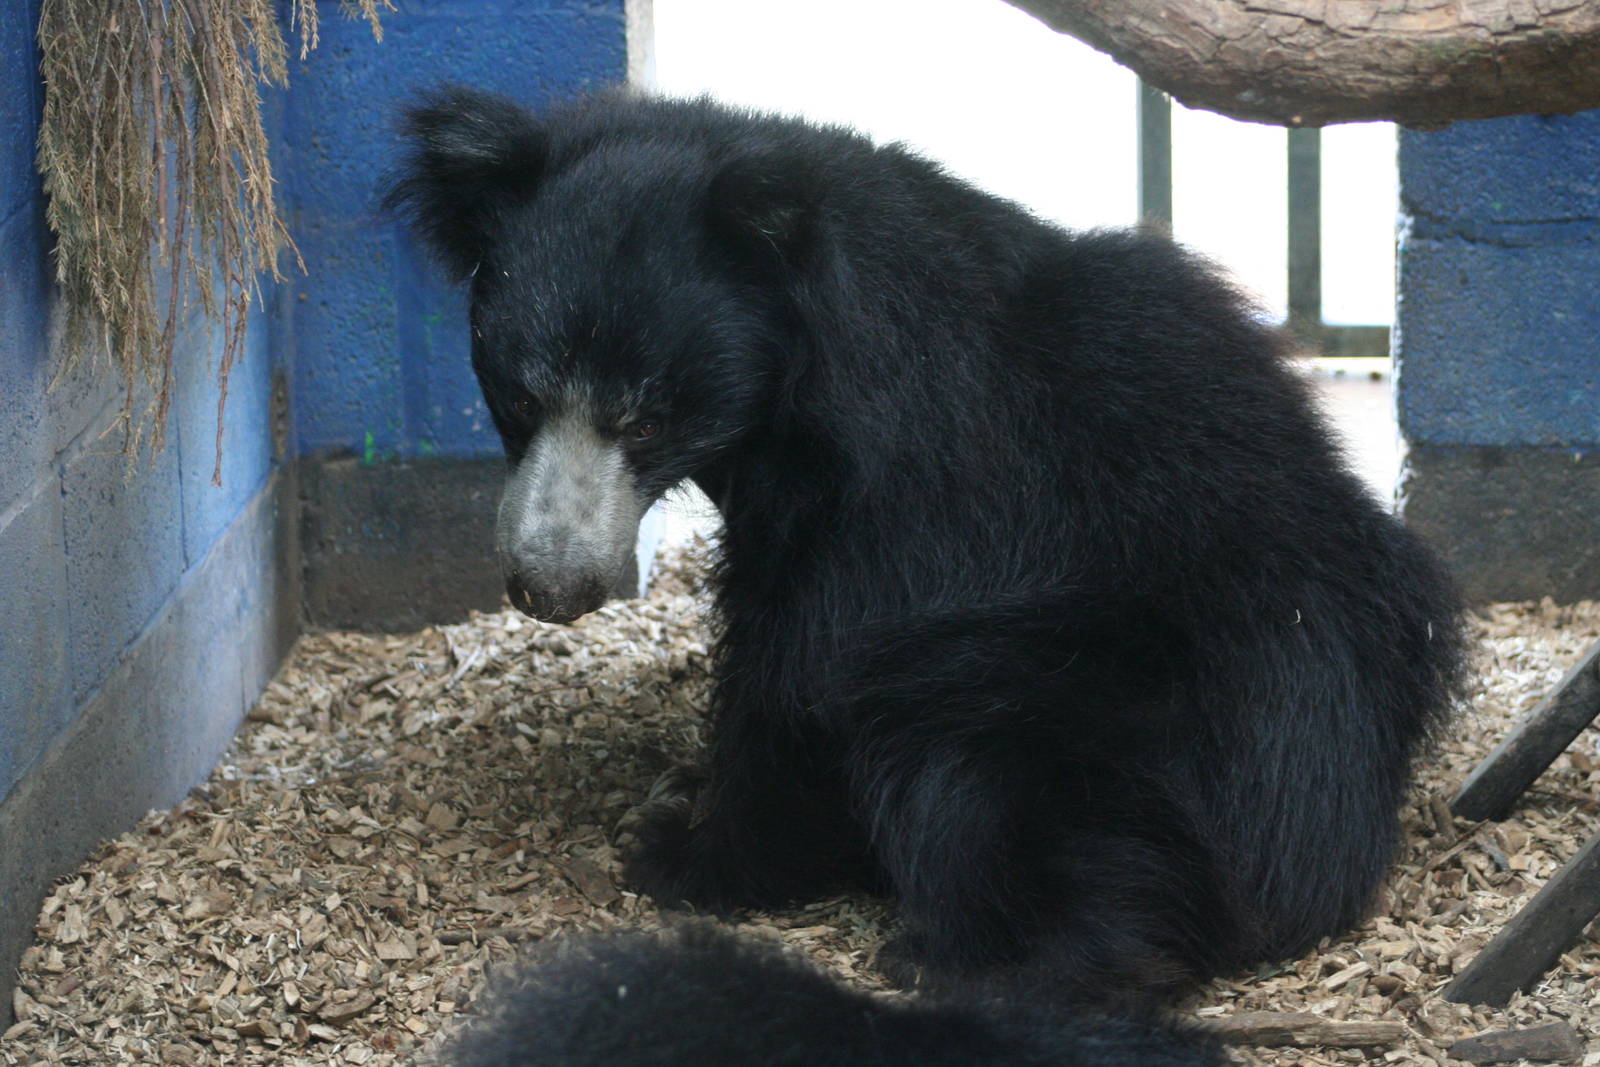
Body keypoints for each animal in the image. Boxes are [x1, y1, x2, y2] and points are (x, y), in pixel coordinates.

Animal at [388, 86, 1466, 1009]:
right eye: (518, 396)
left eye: (648, 419)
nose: (550, 583)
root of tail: (1324, 862)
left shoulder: (897, 506)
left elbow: (801, 676)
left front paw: (681, 851)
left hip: (1093, 706)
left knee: (986, 774)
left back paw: (975, 957)